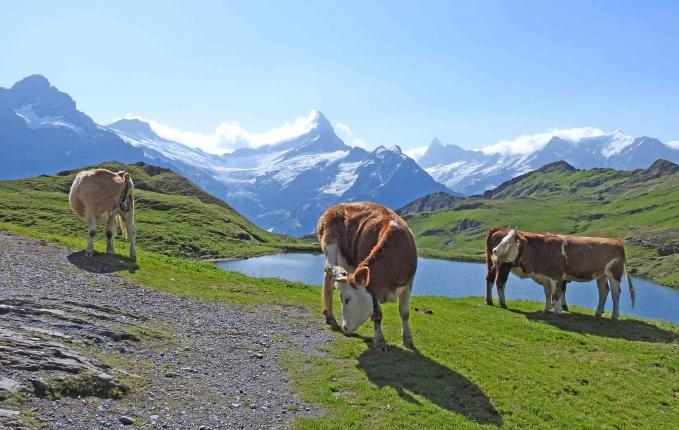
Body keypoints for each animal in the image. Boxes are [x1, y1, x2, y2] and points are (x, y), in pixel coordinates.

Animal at [318, 201, 420, 350]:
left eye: (347, 300)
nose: (345, 328)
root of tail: (334, 207)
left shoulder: (408, 283)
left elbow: (404, 312)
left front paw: (407, 339)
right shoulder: (373, 288)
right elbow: (377, 314)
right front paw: (379, 341)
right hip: (329, 242)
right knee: (328, 272)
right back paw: (330, 315)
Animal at [486, 228, 636, 320]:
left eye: (508, 242)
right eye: (503, 239)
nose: (494, 251)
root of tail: (614, 240)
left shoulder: (556, 276)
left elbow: (556, 294)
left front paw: (558, 311)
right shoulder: (545, 277)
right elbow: (548, 293)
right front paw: (547, 309)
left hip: (614, 273)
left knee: (616, 293)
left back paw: (614, 315)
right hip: (601, 275)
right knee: (604, 291)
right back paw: (598, 313)